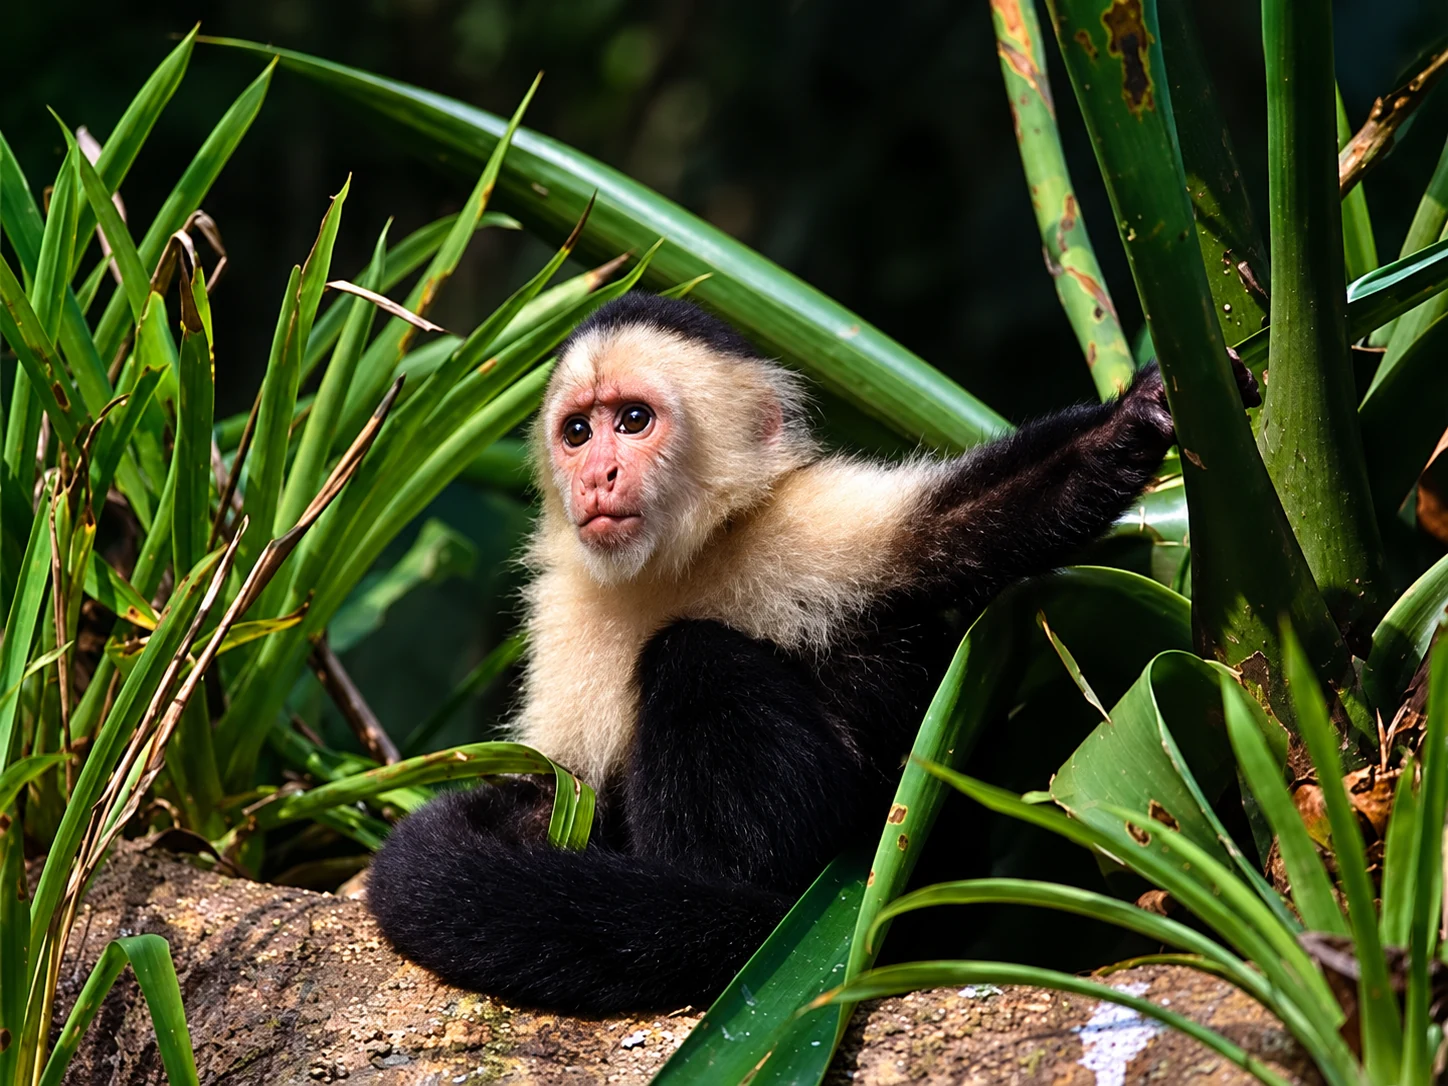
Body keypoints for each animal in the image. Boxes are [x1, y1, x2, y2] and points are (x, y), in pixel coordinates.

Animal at [366, 292, 1260, 1015]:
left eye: (633, 421)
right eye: (577, 431)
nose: (598, 475)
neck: (678, 564)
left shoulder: (807, 517)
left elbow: (972, 523)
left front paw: (1137, 414)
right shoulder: (564, 607)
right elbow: (556, 788)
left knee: (692, 655)